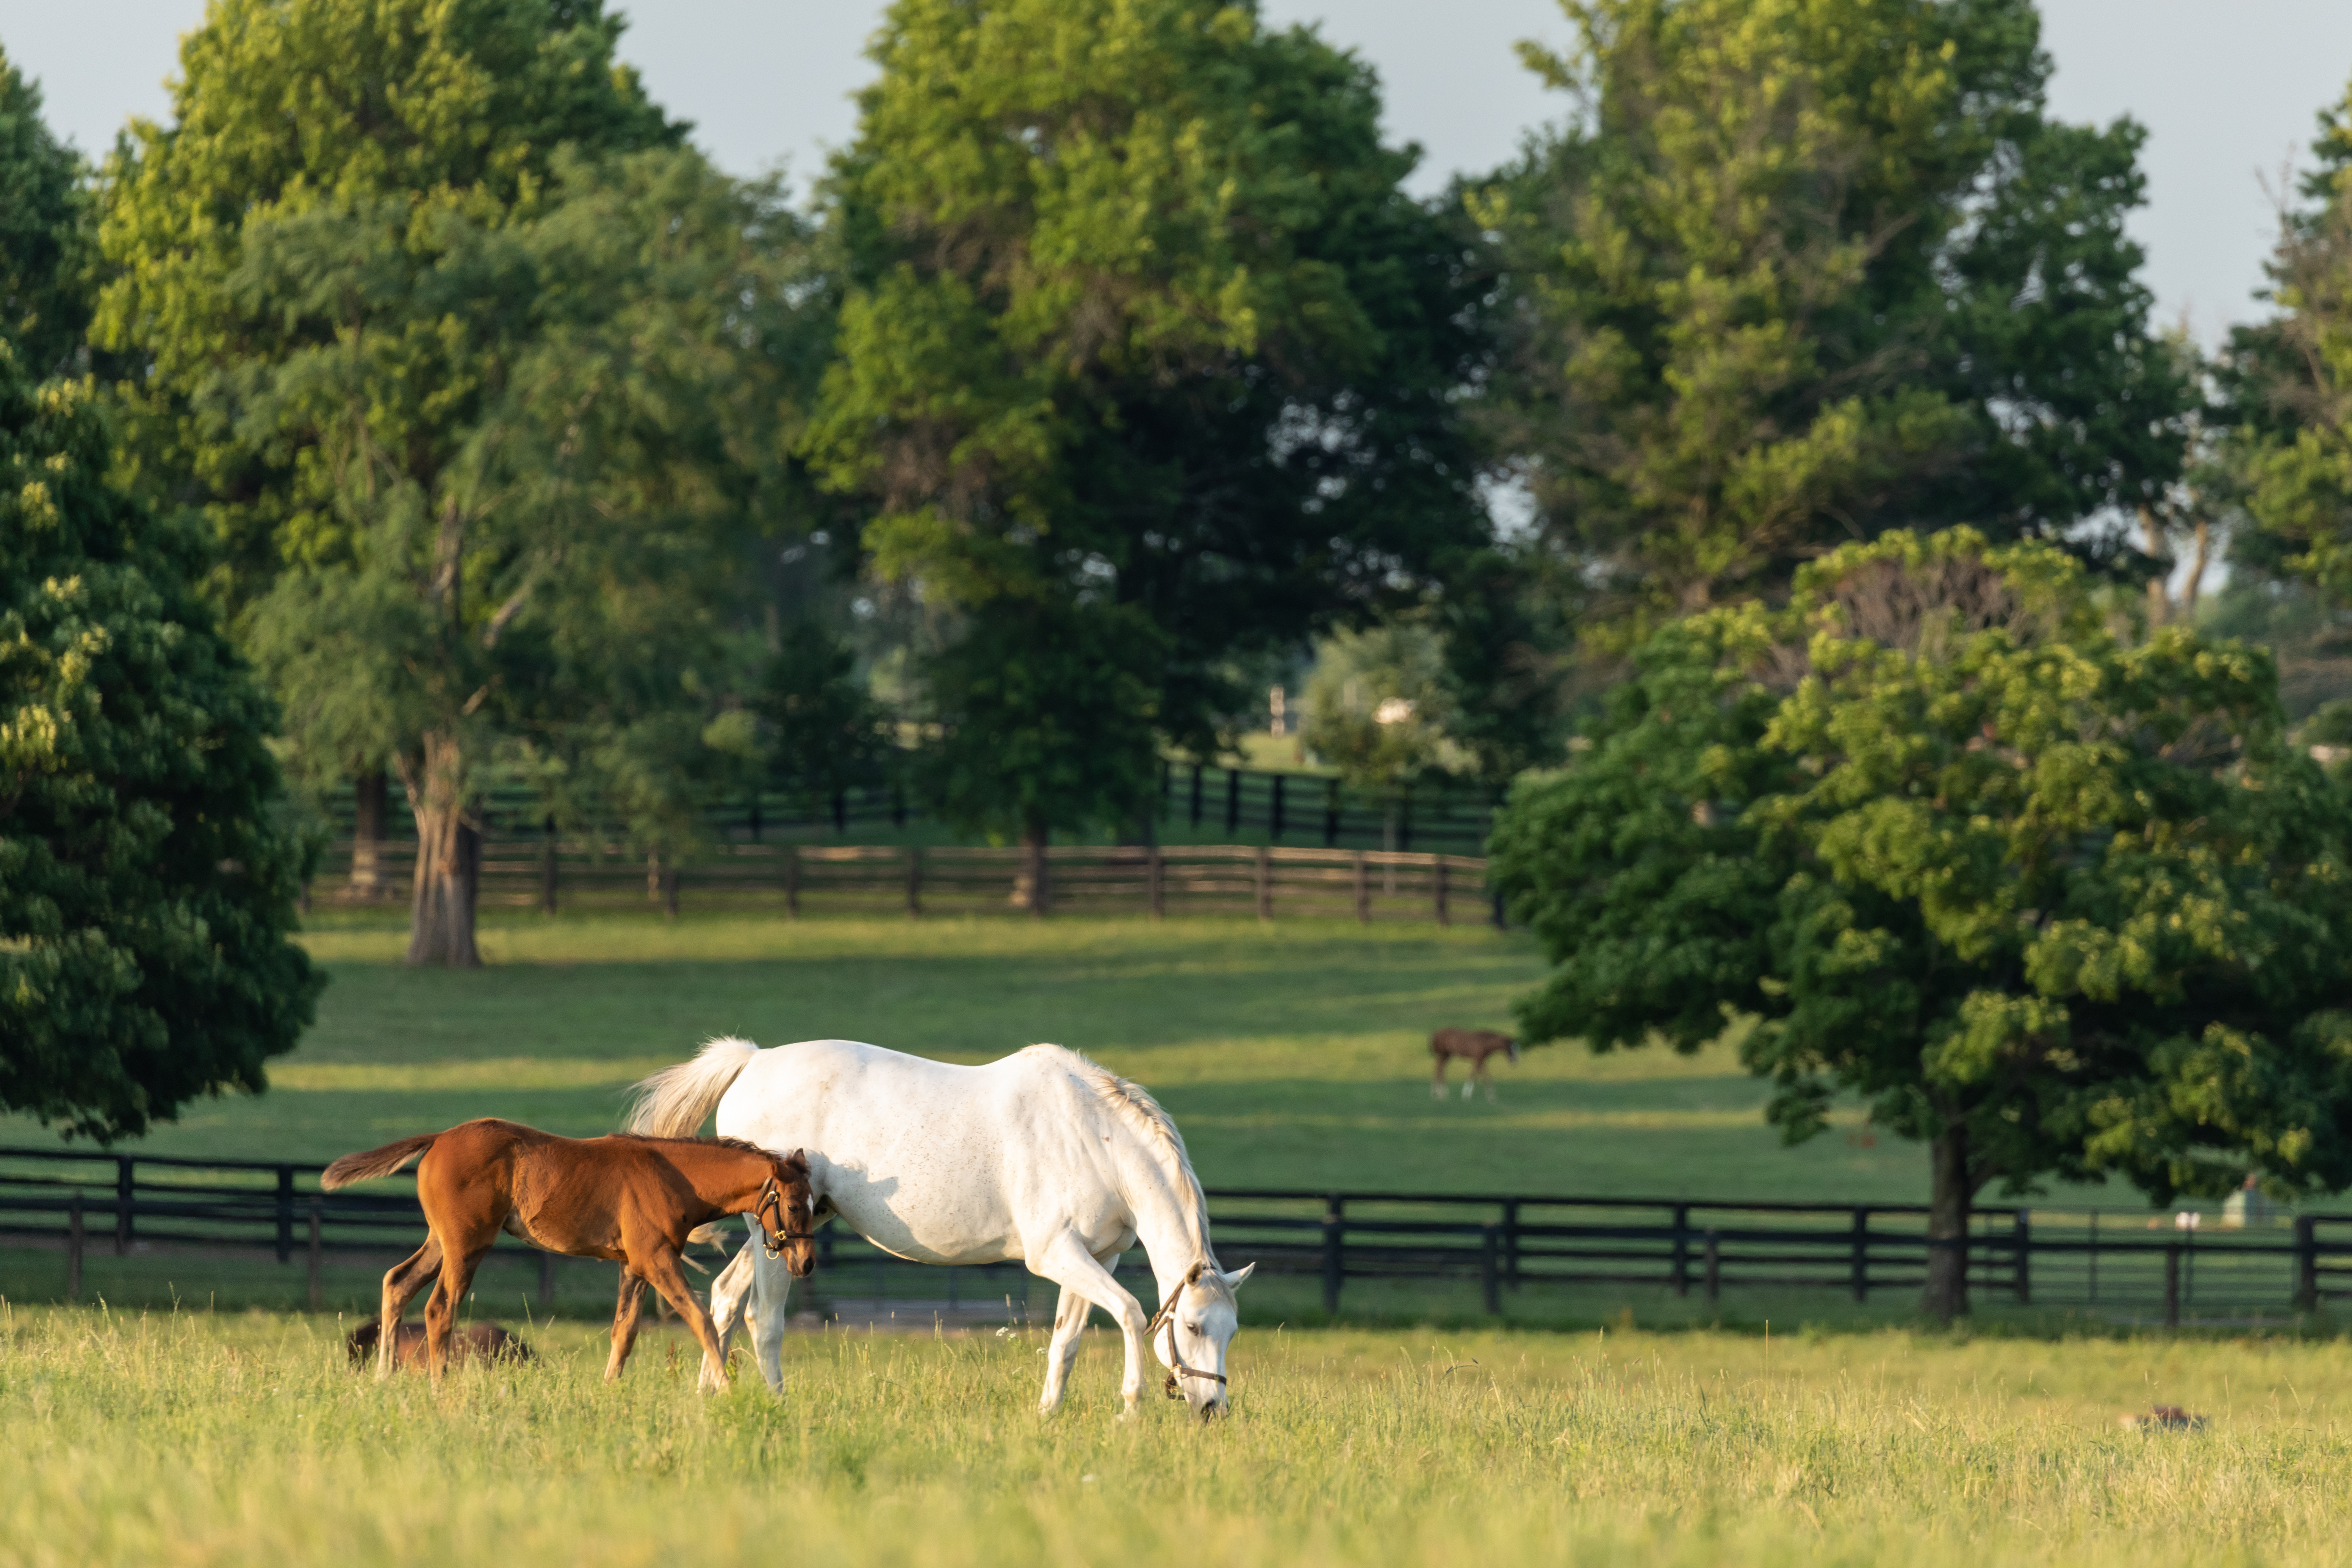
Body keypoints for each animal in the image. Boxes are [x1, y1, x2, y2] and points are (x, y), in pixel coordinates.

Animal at [320, 1114, 818, 1382]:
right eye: (795, 1205)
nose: (807, 1262)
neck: (672, 1176)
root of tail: (439, 1137)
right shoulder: (657, 1260)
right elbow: (701, 1321)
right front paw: (727, 1389)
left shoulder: (633, 1266)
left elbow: (624, 1333)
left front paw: (610, 1393)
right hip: (467, 1245)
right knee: (440, 1308)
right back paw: (439, 1388)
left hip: (440, 1241)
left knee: (397, 1283)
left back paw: (384, 1377)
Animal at [621, 1044, 1251, 1420]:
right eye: (1192, 1326)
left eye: (1231, 1330)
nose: (1213, 1408)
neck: (1091, 1136)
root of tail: (751, 1061)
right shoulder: (1055, 1254)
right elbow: (1125, 1312)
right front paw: (1128, 1406)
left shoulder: (1097, 1257)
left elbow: (1066, 1340)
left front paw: (1047, 1414)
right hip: (772, 1236)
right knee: (763, 1317)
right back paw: (777, 1402)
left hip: (791, 1229)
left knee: (724, 1298)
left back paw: (709, 1396)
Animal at [1430, 1030, 1524, 1105]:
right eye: (1511, 1047)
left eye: (1517, 1048)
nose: (1515, 1061)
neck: (1484, 1042)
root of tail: (1435, 1034)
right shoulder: (1478, 1060)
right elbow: (1475, 1076)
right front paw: (1466, 1095)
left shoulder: (1482, 1061)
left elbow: (1485, 1077)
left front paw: (1491, 1097)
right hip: (1442, 1056)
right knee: (1439, 1069)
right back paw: (1439, 1093)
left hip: (1446, 1056)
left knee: (1440, 1069)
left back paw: (1439, 1093)